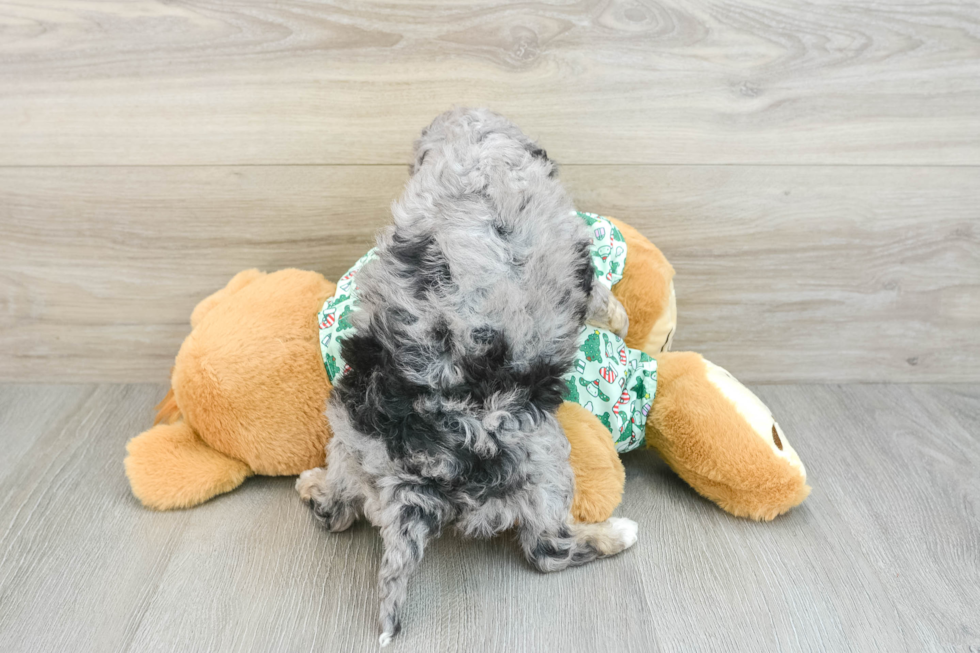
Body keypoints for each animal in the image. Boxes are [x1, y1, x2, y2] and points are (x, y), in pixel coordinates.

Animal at [296, 109, 636, 644]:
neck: (476, 152)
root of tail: (410, 473)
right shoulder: (575, 258)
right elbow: (603, 295)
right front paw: (621, 321)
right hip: (542, 459)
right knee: (548, 551)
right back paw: (616, 535)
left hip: (349, 451)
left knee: (337, 513)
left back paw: (312, 486)